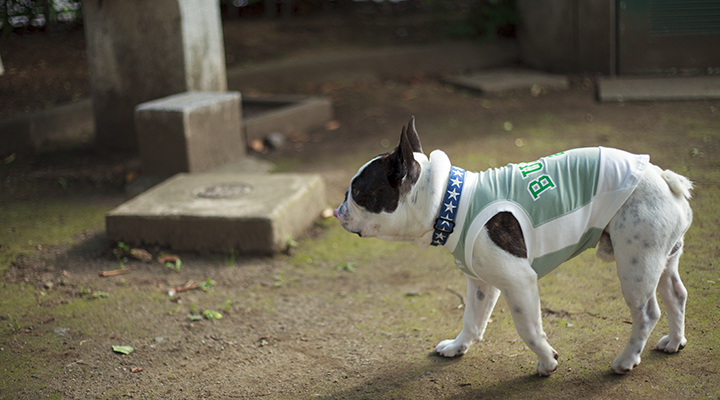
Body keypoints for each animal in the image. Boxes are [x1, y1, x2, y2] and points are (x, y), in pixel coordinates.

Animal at [334, 117, 696, 376]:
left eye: (358, 193)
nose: (339, 209)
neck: (448, 204)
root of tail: (663, 177)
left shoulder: (518, 282)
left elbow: (528, 328)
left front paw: (547, 362)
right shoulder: (481, 282)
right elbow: (472, 319)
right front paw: (458, 346)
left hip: (635, 263)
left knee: (647, 312)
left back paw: (626, 360)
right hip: (661, 257)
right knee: (676, 293)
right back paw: (675, 341)